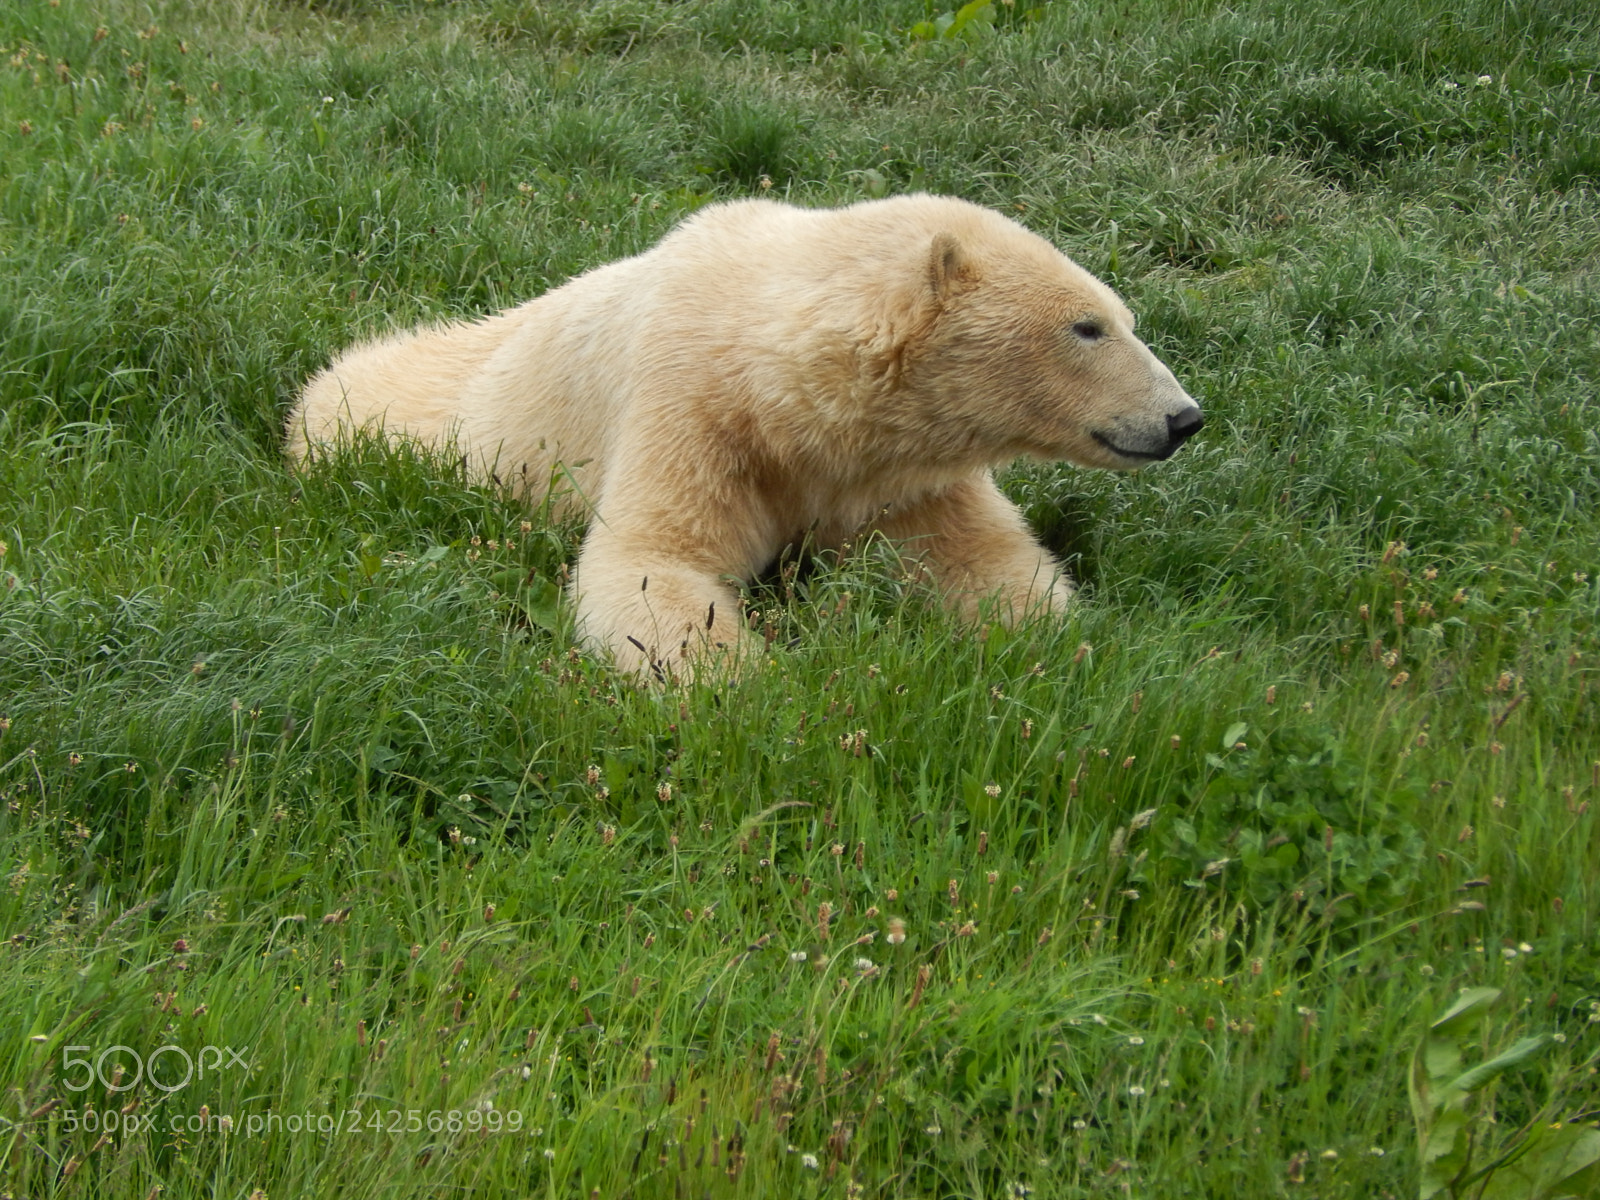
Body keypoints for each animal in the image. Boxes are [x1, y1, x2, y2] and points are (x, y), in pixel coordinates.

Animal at [288, 194, 1202, 677]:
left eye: (1121, 316)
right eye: (1088, 327)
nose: (1183, 418)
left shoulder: (896, 476)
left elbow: (982, 558)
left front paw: (1065, 646)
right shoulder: (692, 412)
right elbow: (653, 562)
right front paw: (742, 685)